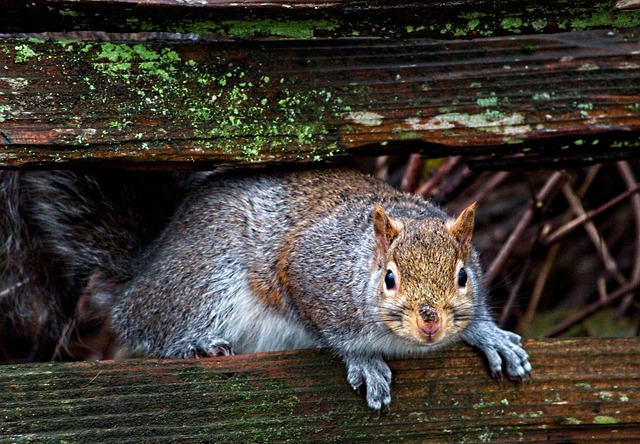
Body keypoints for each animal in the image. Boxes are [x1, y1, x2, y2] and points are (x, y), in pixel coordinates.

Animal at [1, 166, 531, 409]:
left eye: (463, 276)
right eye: (389, 278)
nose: (430, 325)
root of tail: (142, 273)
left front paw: (489, 335)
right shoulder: (306, 266)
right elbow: (328, 327)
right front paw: (363, 360)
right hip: (207, 275)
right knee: (150, 326)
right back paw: (195, 345)